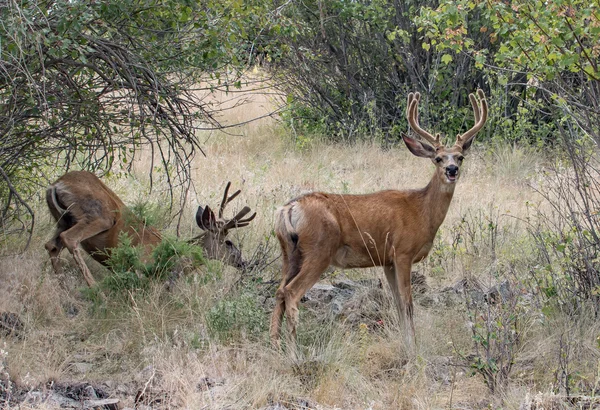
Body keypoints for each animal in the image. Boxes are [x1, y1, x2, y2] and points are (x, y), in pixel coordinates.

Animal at [44, 171, 255, 288]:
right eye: (228, 242)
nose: (243, 263)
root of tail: (56, 184)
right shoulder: (140, 266)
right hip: (98, 215)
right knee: (69, 239)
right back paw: (95, 289)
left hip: (62, 220)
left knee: (51, 245)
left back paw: (64, 287)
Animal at [272, 89, 488, 350]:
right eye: (438, 158)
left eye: (460, 157)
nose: (452, 170)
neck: (422, 212)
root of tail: (288, 209)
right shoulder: (403, 252)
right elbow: (408, 303)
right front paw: (413, 347)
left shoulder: (387, 260)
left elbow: (397, 304)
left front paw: (406, 342)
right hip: (319, 249)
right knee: (291, 292)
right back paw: (294, 350)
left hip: (290, 252)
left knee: (279, 292)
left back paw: (274, 345)